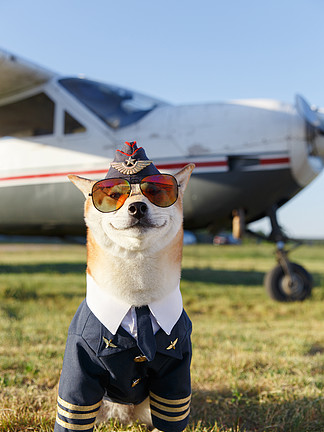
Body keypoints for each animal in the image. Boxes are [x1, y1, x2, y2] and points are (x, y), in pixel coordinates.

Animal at [54, 143, 195, 432]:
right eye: (113, 195)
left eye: (157, 192)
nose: (137, 207)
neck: (138, 301)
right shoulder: (79, 363)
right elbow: (74, 409)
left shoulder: (176, 369)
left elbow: (171, 412)